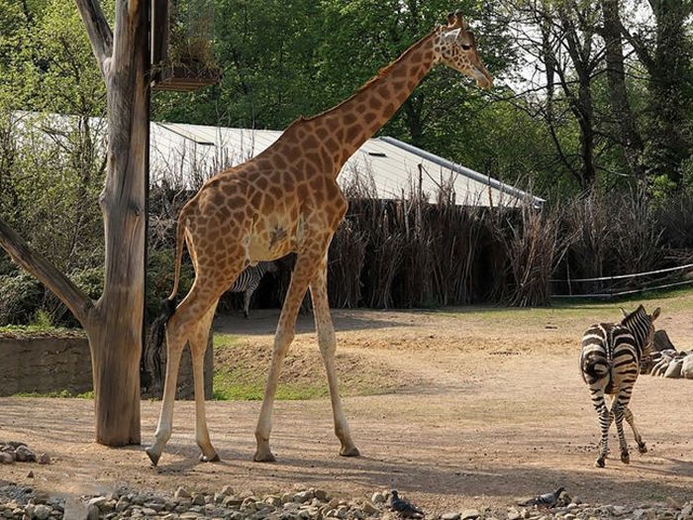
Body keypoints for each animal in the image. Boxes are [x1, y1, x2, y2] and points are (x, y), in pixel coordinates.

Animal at [145, 10, 492, 466]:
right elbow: (284, 335)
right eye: (466, 45)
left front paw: (347, 440)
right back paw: (157, 443)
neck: (337, 149)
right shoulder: (311, 240)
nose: (487, 79)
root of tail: (187, 213)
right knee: (180, 323)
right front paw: (263, 442)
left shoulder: (324, 245)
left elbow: (327, 338)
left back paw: (208, 446)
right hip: (222, 265)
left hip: (212, 266)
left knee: (198, 333)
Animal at [580, 304, 660, 468]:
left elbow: (611, 415)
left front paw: (602, 446)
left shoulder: (611, 390)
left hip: (594, 384)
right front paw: (640, 444)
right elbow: (625, 414)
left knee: (603, 412)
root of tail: (608, 336)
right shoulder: (620, 388)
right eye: (653, 333)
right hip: (626, 383)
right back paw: (624, 453)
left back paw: (601, 458)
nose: (647, 366)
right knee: (618, 411)